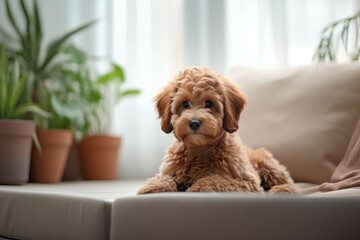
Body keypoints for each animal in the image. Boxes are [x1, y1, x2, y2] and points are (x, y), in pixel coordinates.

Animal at [138, 66, 296, 194]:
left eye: (209, 103)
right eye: (185, 103)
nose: (194, 123)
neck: (199, 148)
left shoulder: (247, 182)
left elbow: (215, 179)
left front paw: (196, 188)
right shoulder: (170, 170)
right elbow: (164, 177)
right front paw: (152, 187)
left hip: (265, 162)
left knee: (287, 181)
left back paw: (283, 190)